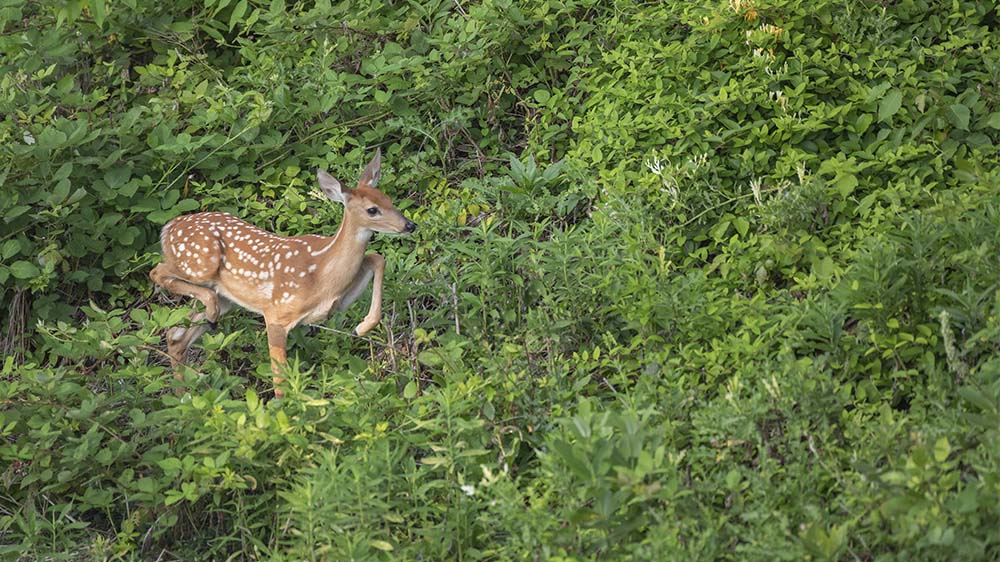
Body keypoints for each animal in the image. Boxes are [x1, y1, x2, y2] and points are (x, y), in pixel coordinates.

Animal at [148, 149, 414, 394]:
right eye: (372, 210)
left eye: (389, 199)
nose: (409, 225)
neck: (321, 272)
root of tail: (168, 227)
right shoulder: (276, 313)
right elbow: (280, 381)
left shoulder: (338, 303)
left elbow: (377, 259)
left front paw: (362, 327)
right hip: (199, 264)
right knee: (157, 272)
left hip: (225, 299)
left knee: (176, 334)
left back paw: (184, 394)